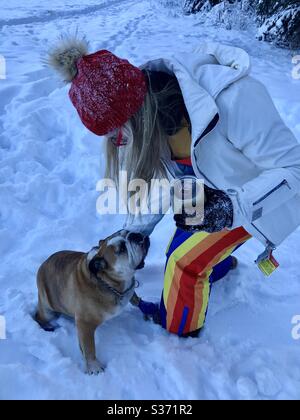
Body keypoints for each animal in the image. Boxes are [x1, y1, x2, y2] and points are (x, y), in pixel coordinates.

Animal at [35, 231, 149, 376]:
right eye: (122, 248)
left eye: (127, 232)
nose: (136, 235)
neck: (109, 282)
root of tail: (43, 264)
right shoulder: (85, 324)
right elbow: (89, 347)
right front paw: (94, 366)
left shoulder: (130, 290)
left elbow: (135, 300)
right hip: (48, 307)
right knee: (39, 316)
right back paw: (48, 326)